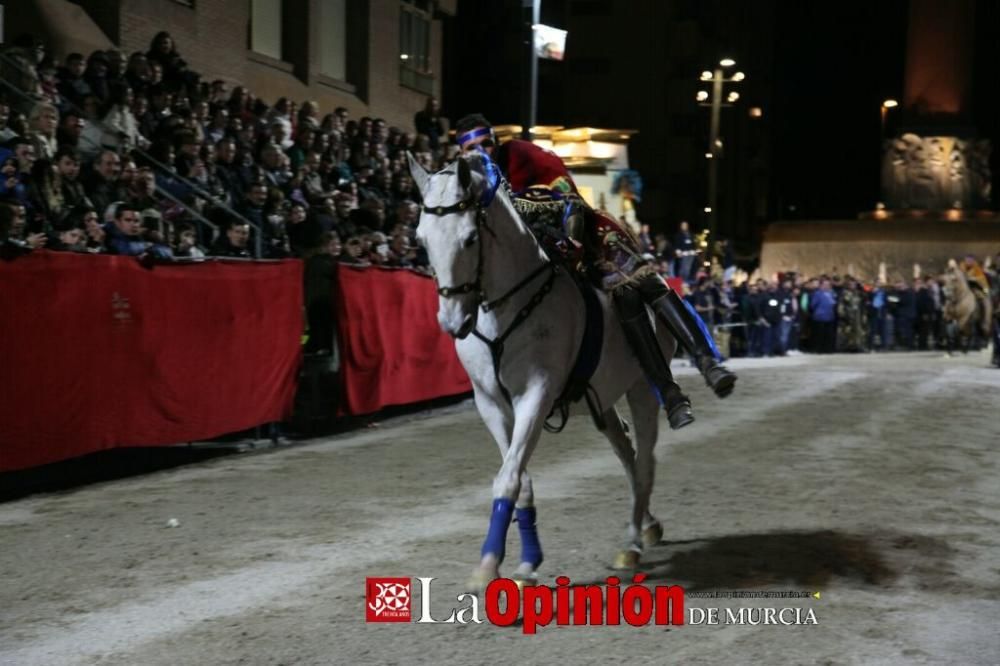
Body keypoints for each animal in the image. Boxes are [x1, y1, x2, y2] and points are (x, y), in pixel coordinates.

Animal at [408, 152, 680, 588]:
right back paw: (647, 526)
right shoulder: (491, 403)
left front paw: (487, 566)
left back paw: (633, 543)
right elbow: (519, 479)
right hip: (600, 399)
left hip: (641, 387)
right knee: (626, 450)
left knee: (643, 462)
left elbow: (508, 477)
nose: (451, 321)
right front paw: (527, 562)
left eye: (469, 238)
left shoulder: (536, 394)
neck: (504, 311)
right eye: (421, 239)